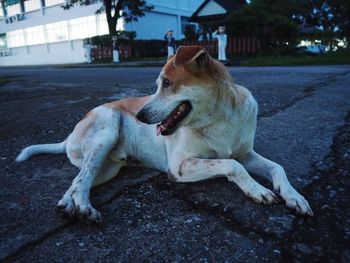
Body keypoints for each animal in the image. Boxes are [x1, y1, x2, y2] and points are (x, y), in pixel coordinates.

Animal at [15, 46, 314, 223]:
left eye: (168, 83)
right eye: (158, 84)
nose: (139, 116)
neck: (218, 119)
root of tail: (71, 133)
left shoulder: (247, 153)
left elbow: (276, 167)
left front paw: (294, 196)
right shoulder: (179, 166)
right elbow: (232, 165)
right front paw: (258, 190)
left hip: (107, 168)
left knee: (78, 181)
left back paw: (67, 205)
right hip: (106, 132)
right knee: (81, 180)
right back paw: (84, 208)